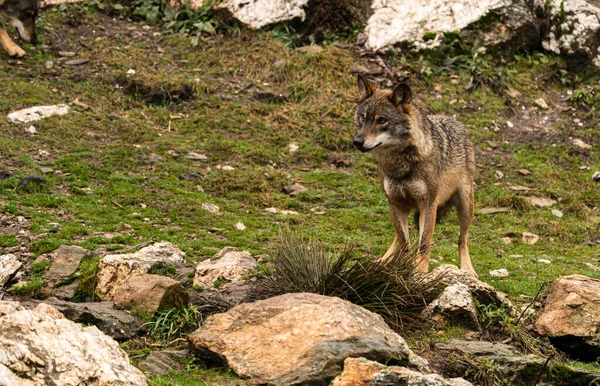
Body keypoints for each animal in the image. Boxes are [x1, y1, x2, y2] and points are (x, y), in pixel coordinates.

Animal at [354, 74, 476, 276]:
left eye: (382, 120)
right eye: (363, 118)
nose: (357, 141)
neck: (400, 164)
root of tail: (457, 122)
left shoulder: (429, 204)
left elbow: (425, 242)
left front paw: (419, 272)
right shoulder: (394, 203)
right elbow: (404, 242)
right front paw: (402, 266)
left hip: (465, 206)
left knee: (462, 239)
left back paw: (467, 269)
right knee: (399, 237)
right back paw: (382, 261)